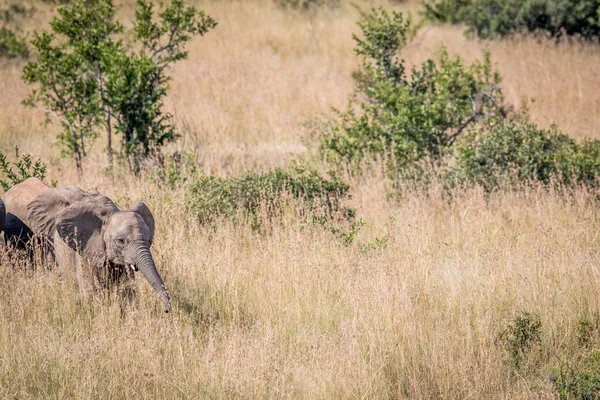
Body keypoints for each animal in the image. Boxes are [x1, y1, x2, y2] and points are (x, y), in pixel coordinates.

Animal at [27, 184, 170, 312]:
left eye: (149, 240)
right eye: (121, 241)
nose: (167, 310)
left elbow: (128, 290)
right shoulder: (87, 251)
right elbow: (92, 293)